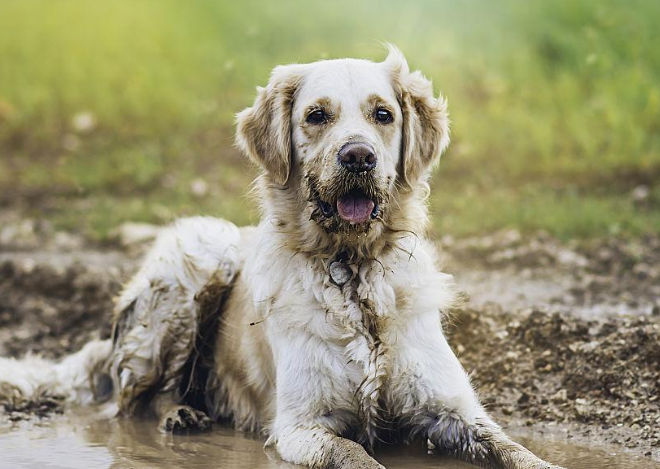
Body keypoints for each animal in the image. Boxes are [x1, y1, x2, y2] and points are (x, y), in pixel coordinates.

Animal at [1, 48, 568, 468]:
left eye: (383, 114)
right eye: (317, 116)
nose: (358, 156)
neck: (353, 271)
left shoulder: (455, 411)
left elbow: (520, 451)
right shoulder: (302, 426)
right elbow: (357, 455)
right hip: (201, 253)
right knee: (130, 403)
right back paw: (180, 414)